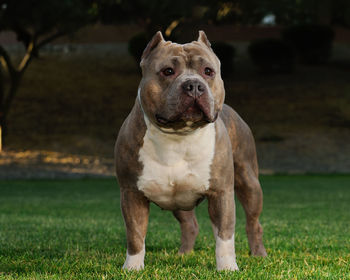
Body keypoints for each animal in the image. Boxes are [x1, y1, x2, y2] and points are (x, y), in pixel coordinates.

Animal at [115, 31, 268, 272]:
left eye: (208, 71)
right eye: (168, 71)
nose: (194, 85)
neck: (179, 137)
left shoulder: (221, 193)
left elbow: (225, 236)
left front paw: (227, 267)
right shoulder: (131, 194)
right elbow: (135, 235)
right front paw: (132, 267)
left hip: (249, 184)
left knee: (253, 223)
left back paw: (259, 254)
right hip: (179, 200)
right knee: (190, 225)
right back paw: (183, 254)